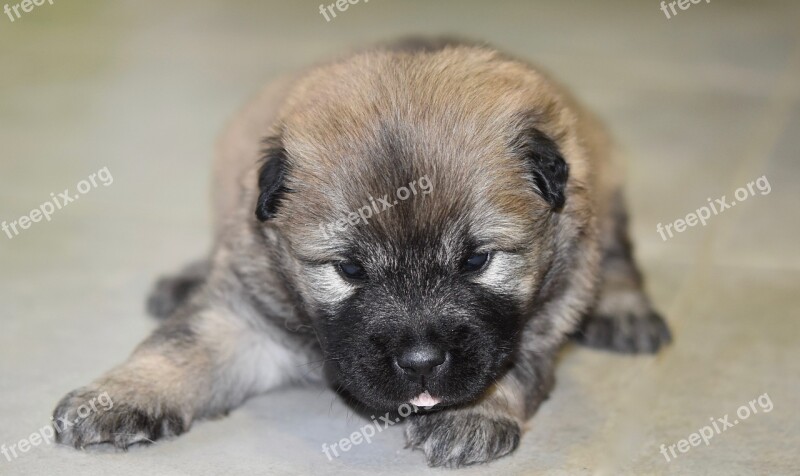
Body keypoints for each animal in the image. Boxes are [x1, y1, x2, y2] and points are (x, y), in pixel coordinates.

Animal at [53, 38, 672, 468]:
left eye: (476, 261)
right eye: (349, 269)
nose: (421, 361)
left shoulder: (544, 311)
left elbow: (514, 361)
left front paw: (473, 415)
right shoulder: (245, 315)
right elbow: (181, 346)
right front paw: (117, 395)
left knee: (619, 254)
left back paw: (625, 312)